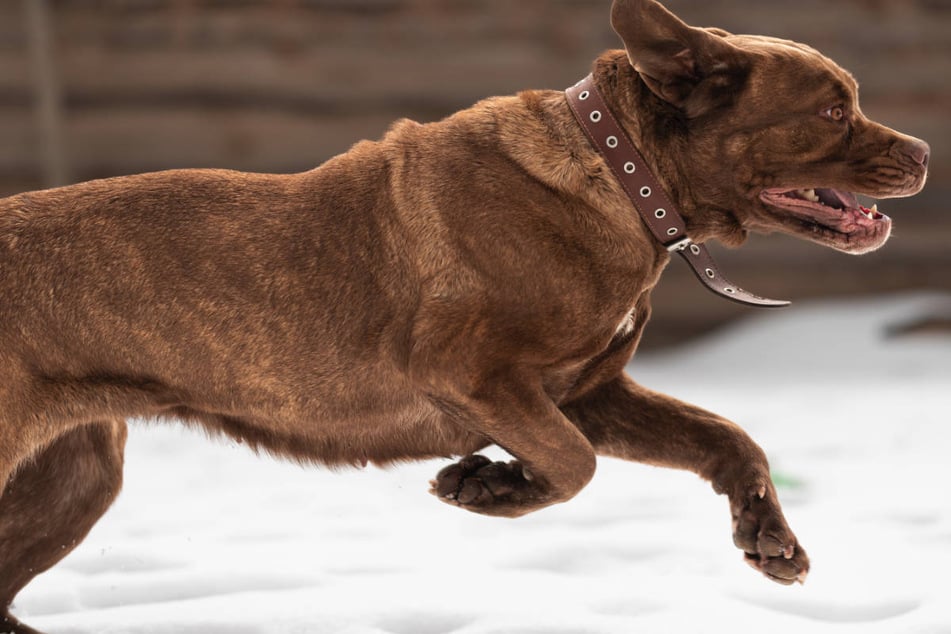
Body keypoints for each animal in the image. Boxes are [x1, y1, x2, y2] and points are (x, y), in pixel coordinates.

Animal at [0, 0, 928, 628]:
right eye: (831, 109)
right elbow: (575, 465)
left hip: (76, 475)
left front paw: (769, 539)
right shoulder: (476, 373)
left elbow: (727, 437)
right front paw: (487, 487)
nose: (922, 150)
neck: (623, 177)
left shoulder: (587, 390)